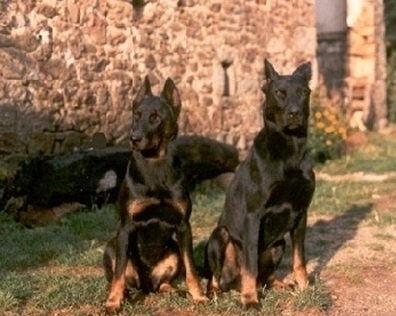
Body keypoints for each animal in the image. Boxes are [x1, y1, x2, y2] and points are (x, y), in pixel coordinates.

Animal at [103, 76, 209, 312]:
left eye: (155, 117)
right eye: (136, 115)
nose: (134, 138)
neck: (155, 166)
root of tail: (146, 285)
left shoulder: (183, 226)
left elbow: (192, 269)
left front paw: (198, 296)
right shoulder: (126, 226)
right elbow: (119, 273)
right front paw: (113, 302)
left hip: (174, 251)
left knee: (163, 283)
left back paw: (173, 290)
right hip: (111, 247)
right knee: (121, 276)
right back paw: (123, 294)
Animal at [207, 59, 316, 308]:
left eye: (302, 93)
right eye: (279, 93)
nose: (294, 113)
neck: (290, 152)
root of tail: (231, 284)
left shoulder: (301, 213)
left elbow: (300, 259)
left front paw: (305, 287)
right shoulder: (253, 215)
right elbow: (250, 265)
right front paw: (249, 300)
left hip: (278, 245)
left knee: (266, 277)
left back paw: (280, 284)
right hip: (220, 235)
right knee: (217, 278)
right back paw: (219, 292)